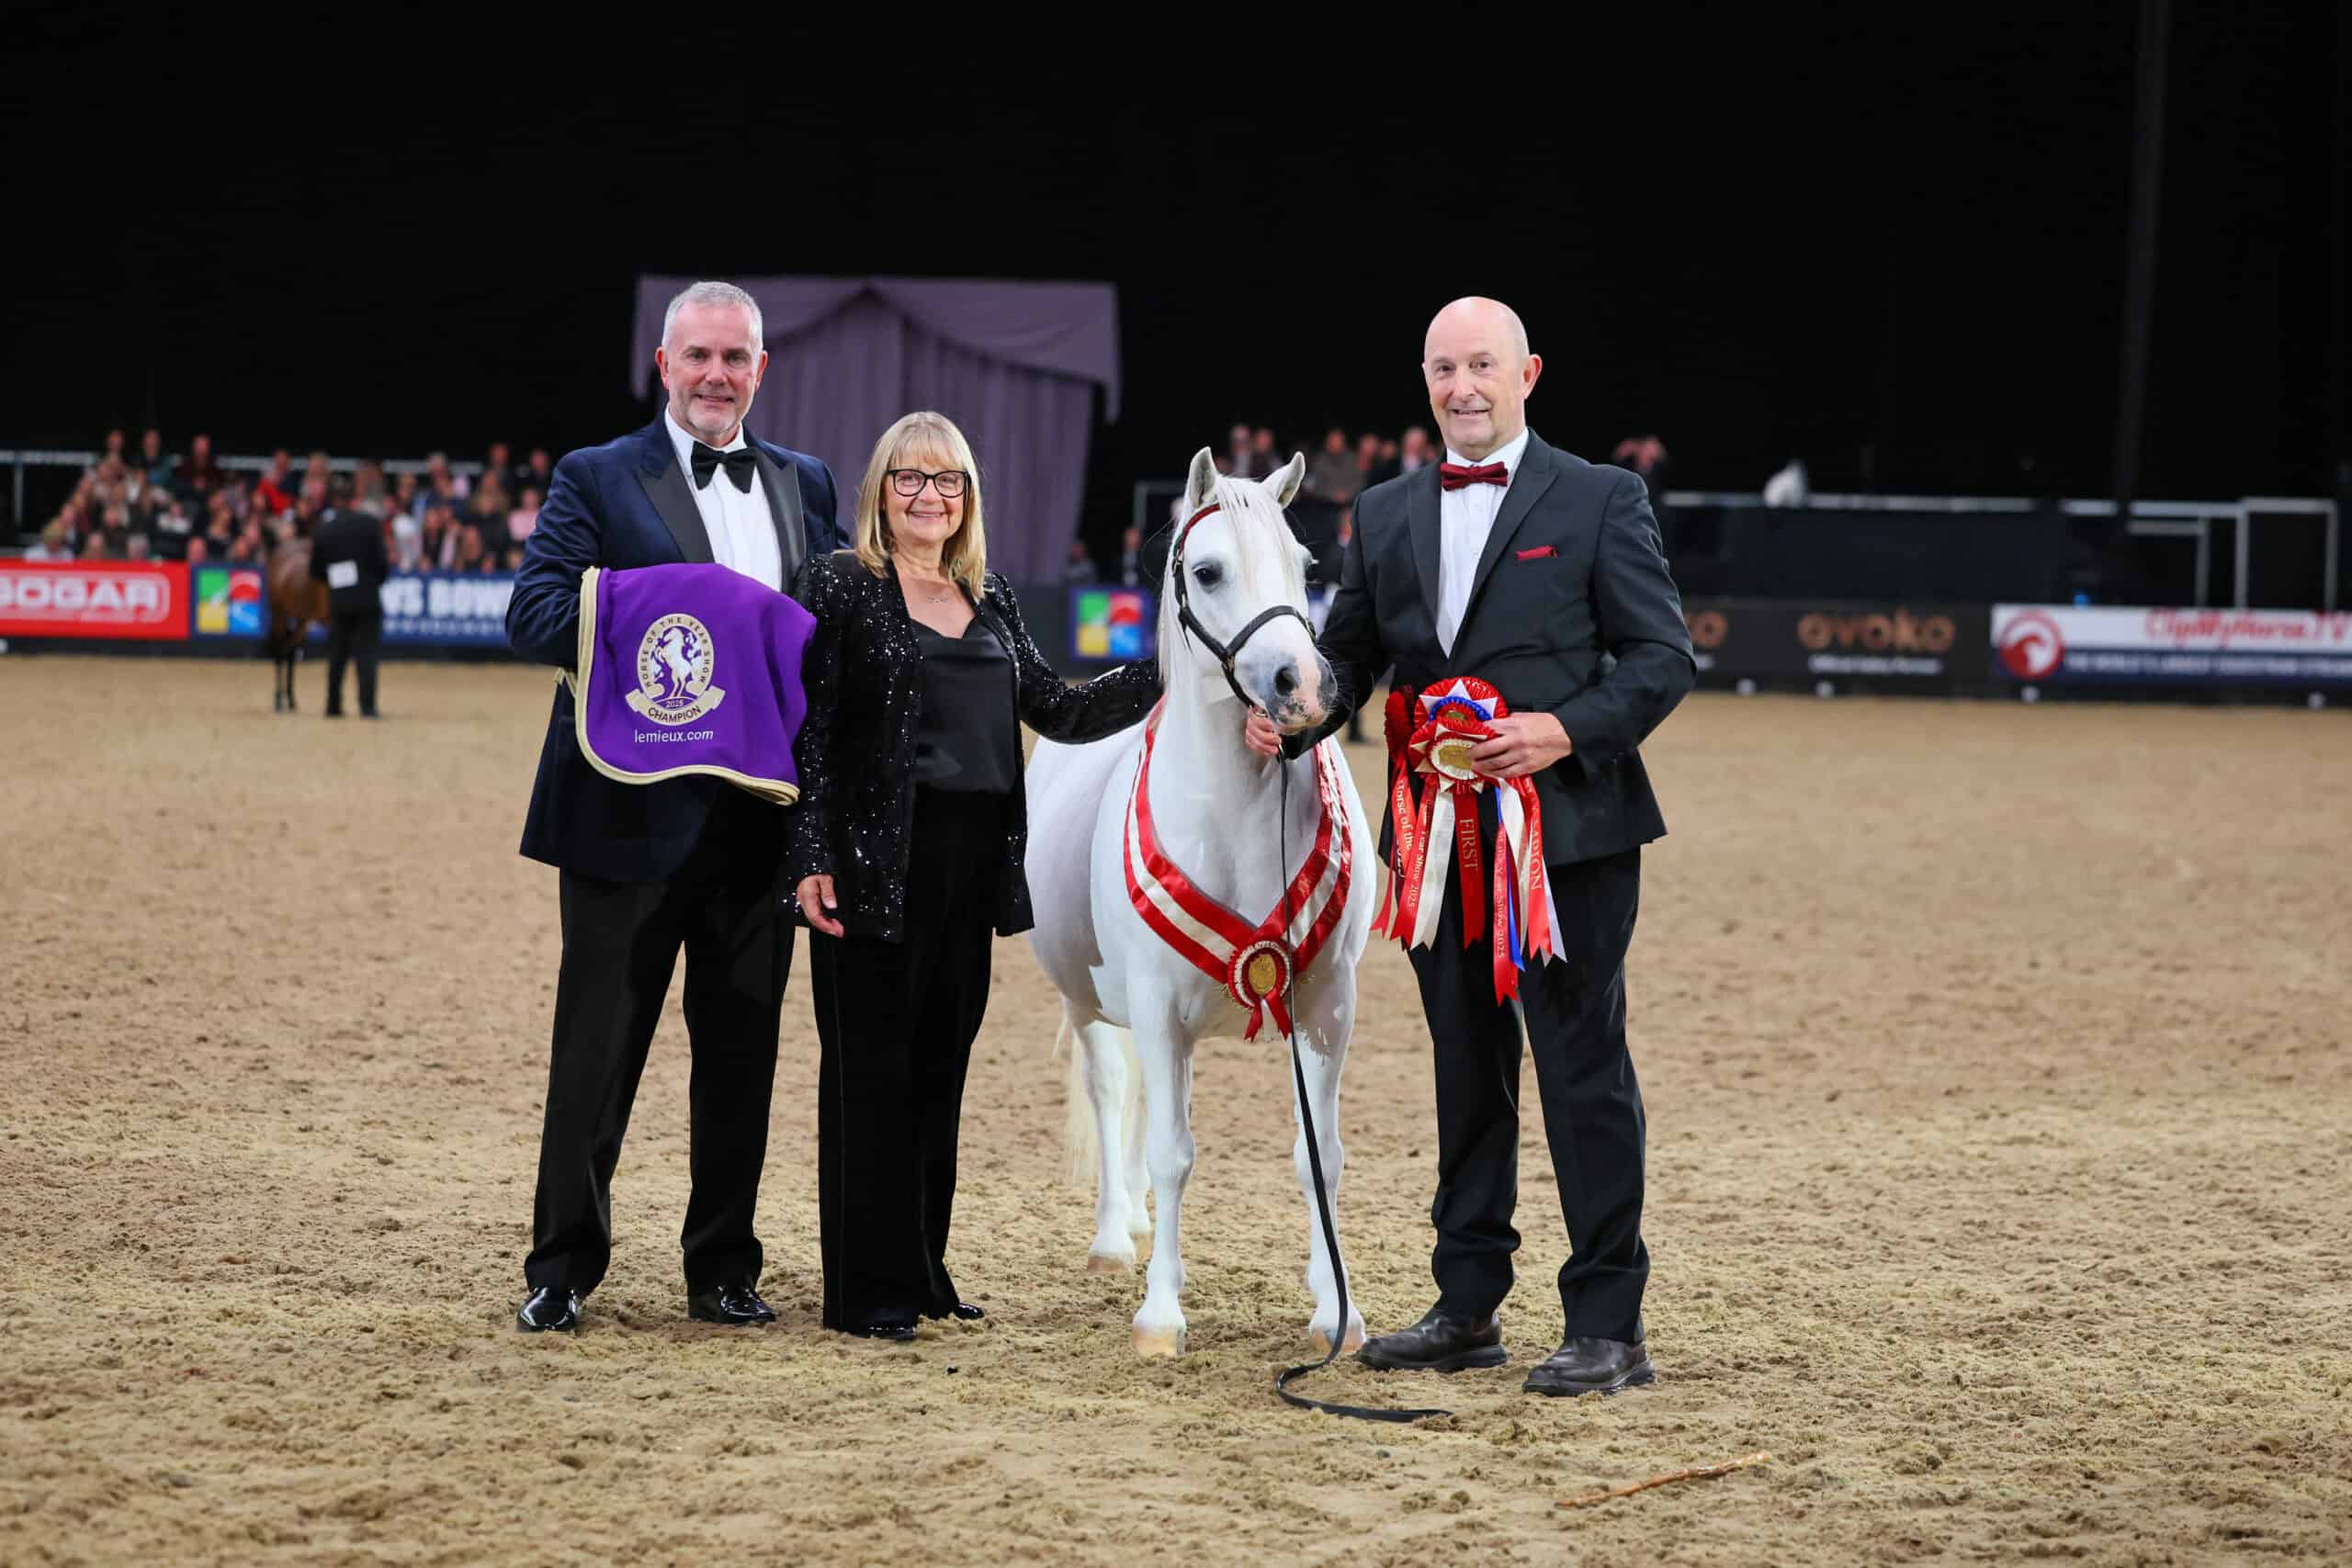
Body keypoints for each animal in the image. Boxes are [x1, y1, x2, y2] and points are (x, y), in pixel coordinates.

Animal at [265, 534, 329, 712]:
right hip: (279, 614)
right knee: (280, 650)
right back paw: (278, 699)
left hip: (301, 619)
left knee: (290, 652)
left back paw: (291, 700)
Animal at [1026, 447, 1377, 1357]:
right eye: (1209, 570)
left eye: (1306, 565)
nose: (1303, 683)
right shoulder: (1154, 1005)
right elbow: (1172, 1153)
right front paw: (1160, 1314)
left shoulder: (1326, 1005)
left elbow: (1319, 1155)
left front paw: (1336, 1310)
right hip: (1090, 1000)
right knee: (1113, 1090)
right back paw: (1116, 1236)